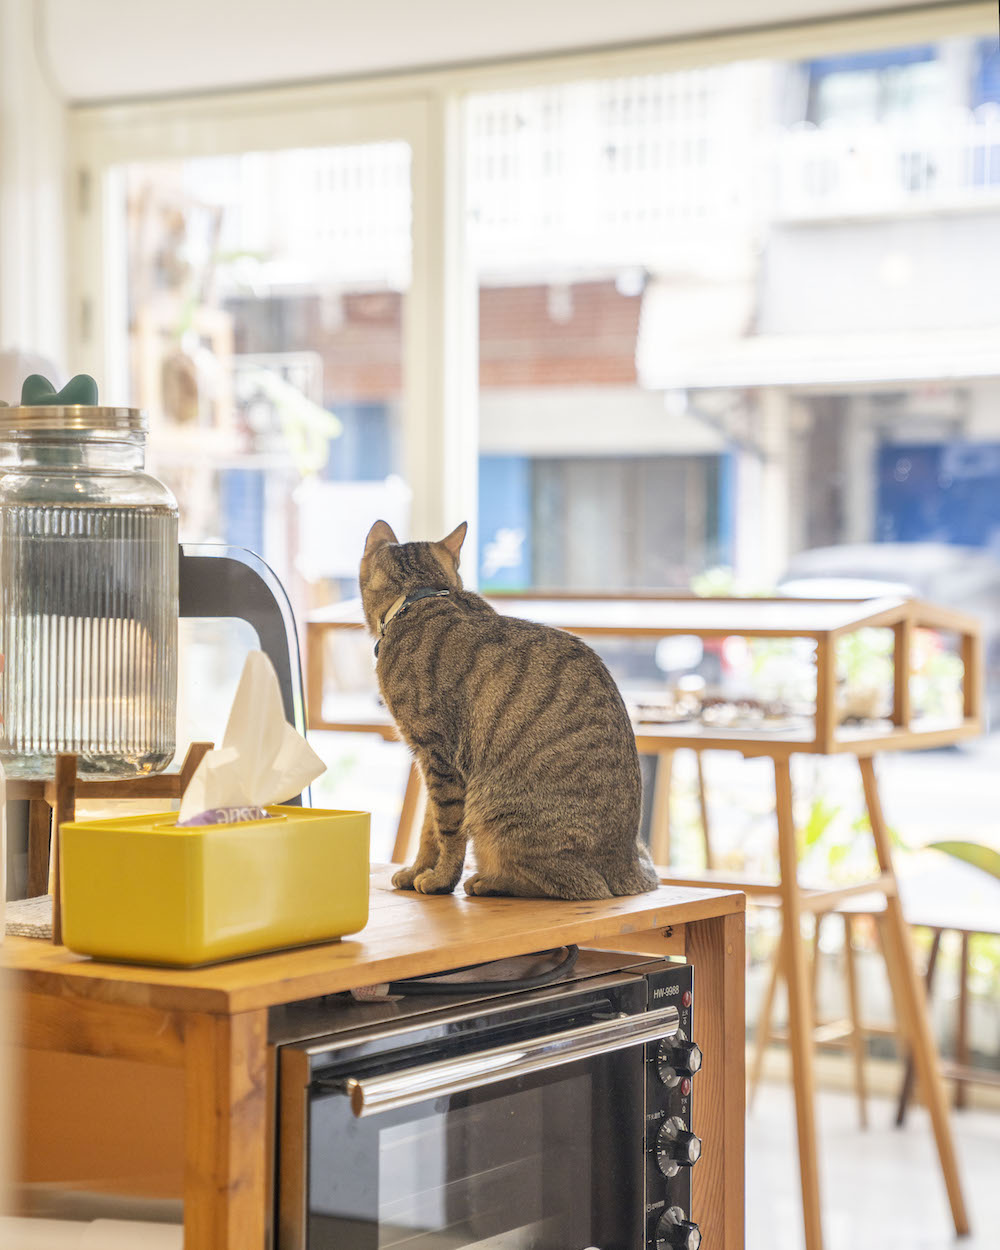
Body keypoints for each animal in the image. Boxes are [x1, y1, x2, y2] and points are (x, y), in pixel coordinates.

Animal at [360, 517, 655, 900]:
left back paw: (487, 881)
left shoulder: (439, 758)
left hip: (497, 813)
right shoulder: (429, 764)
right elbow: (428, 830)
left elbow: (448, 832)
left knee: (574, 885)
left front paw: (440, 879)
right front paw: (416, 871)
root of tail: (628, 865)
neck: (419, 598)